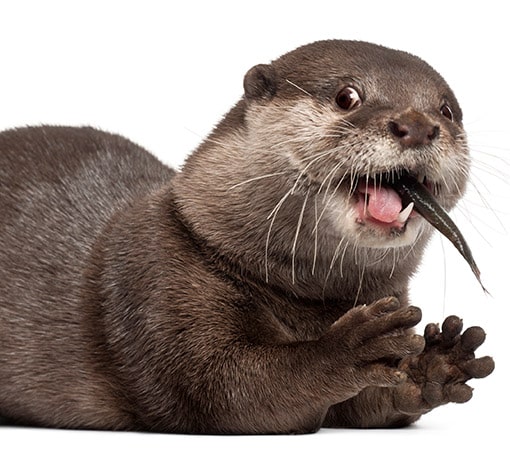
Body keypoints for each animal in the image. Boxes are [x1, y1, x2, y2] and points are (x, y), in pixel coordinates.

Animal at [0, 40, 494, 434]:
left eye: (447, 111)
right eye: (347, 97)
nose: (419, 126)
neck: (304, 298)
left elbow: (369, 409)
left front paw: (437, 362)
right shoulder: (159, 281)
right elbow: (222, 389)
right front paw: (346, 348)